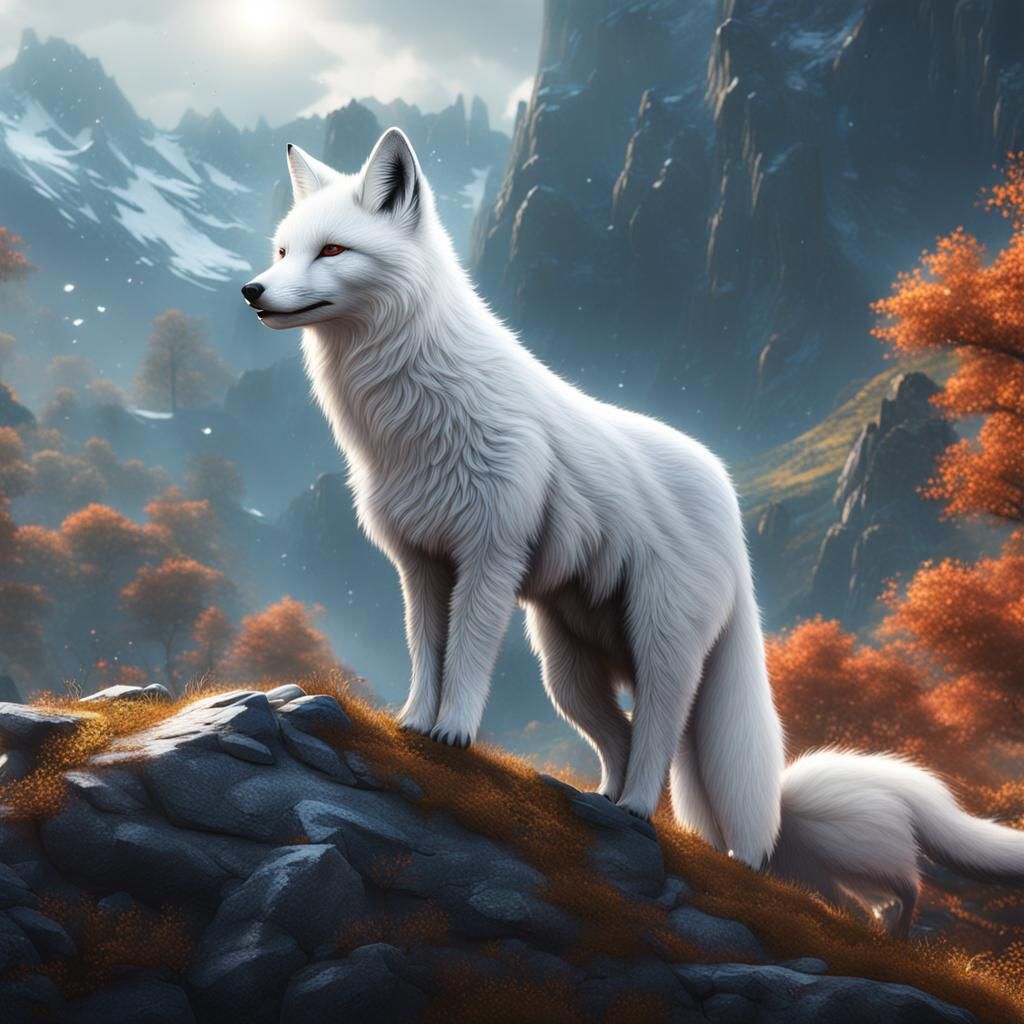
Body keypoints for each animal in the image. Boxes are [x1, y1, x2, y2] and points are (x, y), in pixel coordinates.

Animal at [241, 127, 1024, 936]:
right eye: (282, 251)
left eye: (333, 251)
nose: (252, 292)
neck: (409, 415)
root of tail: (728, 501)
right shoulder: (421, 565)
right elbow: (427, 657)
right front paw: (412, 725)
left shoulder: (488, 559)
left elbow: (468, 661)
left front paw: (454, 733)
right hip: (568, 671)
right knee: (617, 740)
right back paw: (602, 805)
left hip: (661, 653)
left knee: (657, 745)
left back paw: (638, 812)